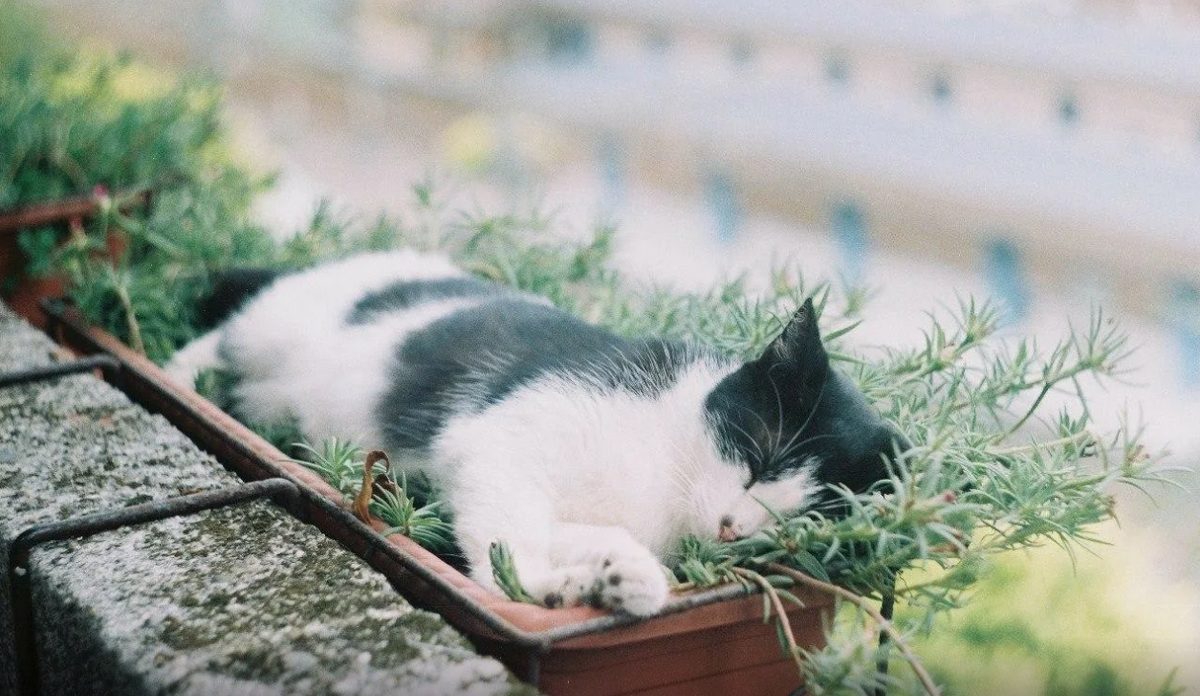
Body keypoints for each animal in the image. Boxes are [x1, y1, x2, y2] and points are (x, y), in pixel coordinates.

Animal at [166, 249, 902, 614]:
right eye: (759, 456)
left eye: (803, 522)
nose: (731, 528)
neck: (668, 465)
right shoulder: (499, 442)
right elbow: (506, 526)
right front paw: (527, 586)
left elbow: (587, 534)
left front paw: (614, 581)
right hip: (276, 328)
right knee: (223, 337)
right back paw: (179, 373)